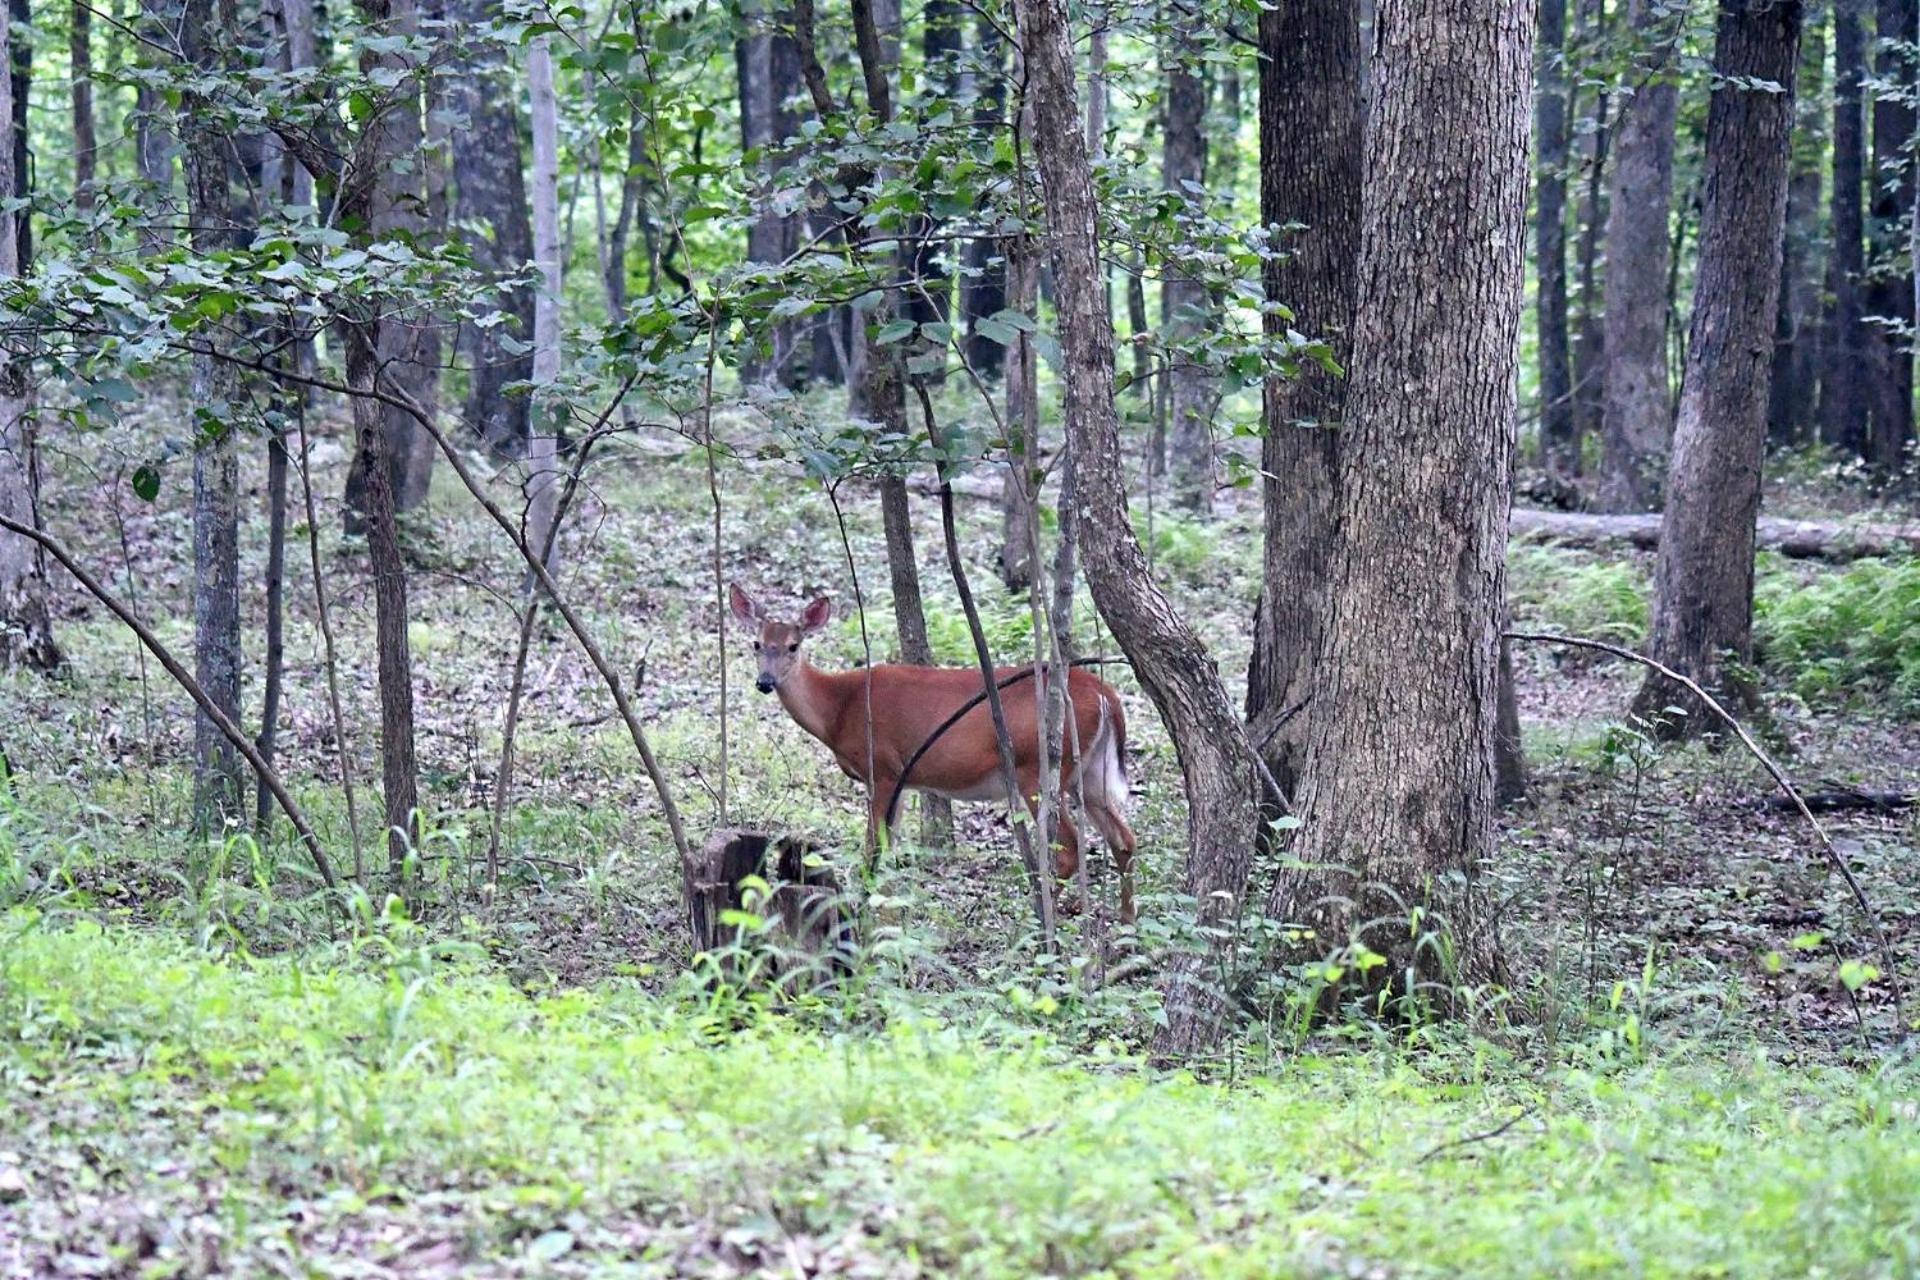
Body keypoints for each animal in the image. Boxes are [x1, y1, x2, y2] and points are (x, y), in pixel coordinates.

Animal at [725, 579, 1128, 921]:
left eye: (793, 646)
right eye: (757, 644)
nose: (765, 682)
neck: (840, 708)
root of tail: (1105, 694)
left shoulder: (883, 768)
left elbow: (872, 850)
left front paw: (868, 910)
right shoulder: (903, 780)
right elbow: (887, 848)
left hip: (1038, 768)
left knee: (1072, 847)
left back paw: (1043, 918)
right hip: (1090, 769)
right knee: (1123, 838)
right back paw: (1125, 921)